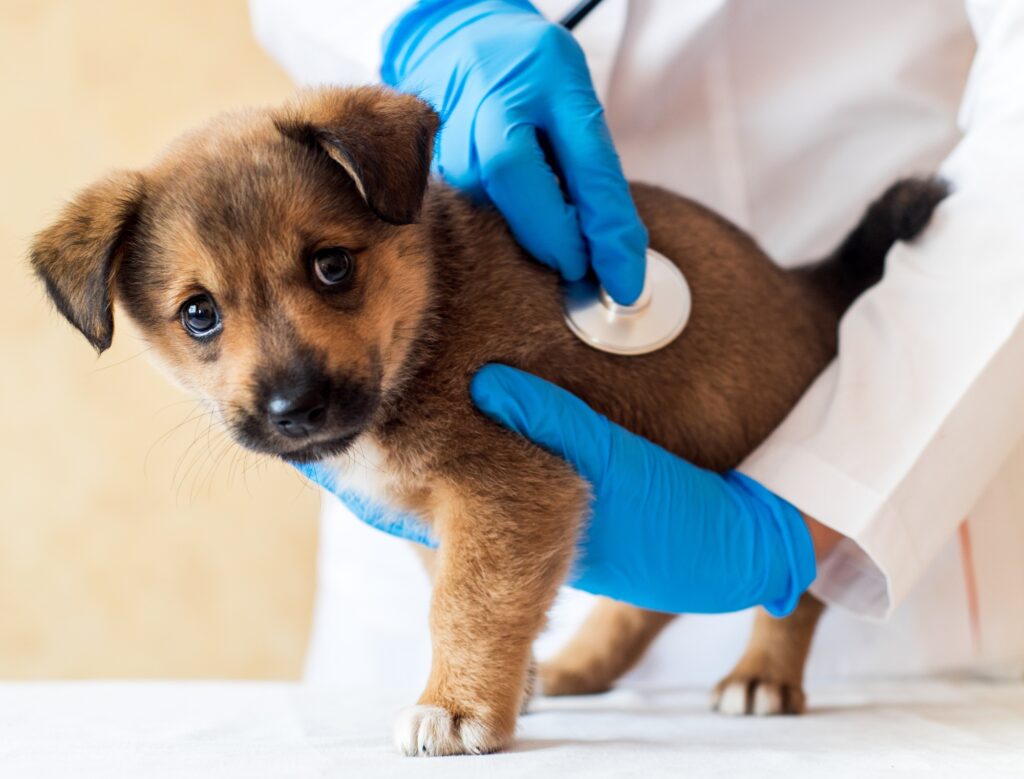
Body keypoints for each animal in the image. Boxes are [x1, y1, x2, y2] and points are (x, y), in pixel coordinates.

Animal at [28, 83, 946, 753]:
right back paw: (585, 663)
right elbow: (466, 593)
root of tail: (807, 284)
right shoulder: (446, 518)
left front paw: (456, 706)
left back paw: (761, 674)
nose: (296, 407)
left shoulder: (509, 485)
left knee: (795, 588)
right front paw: (508, 681)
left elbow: (468, 604)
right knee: (660, 595)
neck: (429, 318)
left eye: (331, 265)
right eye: (199, 315)